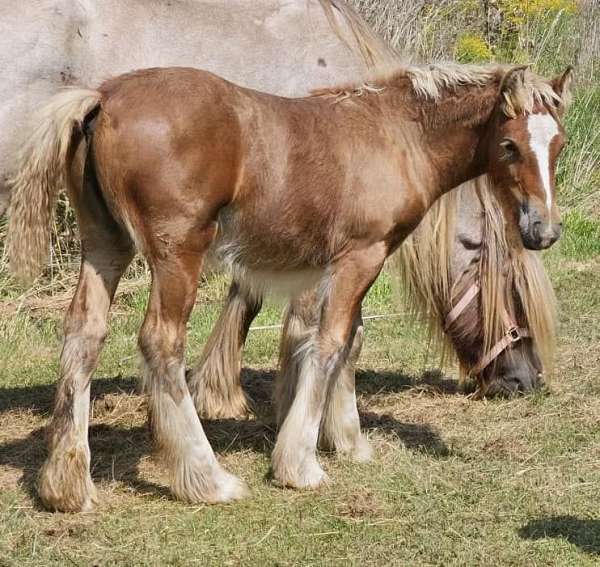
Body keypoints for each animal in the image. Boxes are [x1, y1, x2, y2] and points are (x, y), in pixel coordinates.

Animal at [7, 60, 572, 512]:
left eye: (558, 144)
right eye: (509, 145)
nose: (544, 231)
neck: (397, 134)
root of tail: (103, 97)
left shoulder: (344, 263)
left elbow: (349, 341)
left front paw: (347, 442)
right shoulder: (359, 256)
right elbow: (329, 343)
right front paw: (300, 464)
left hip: (105, 244)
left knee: (83, 334)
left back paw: (66, 488)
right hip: (177, 253)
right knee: (161, 343)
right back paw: (208, 479)